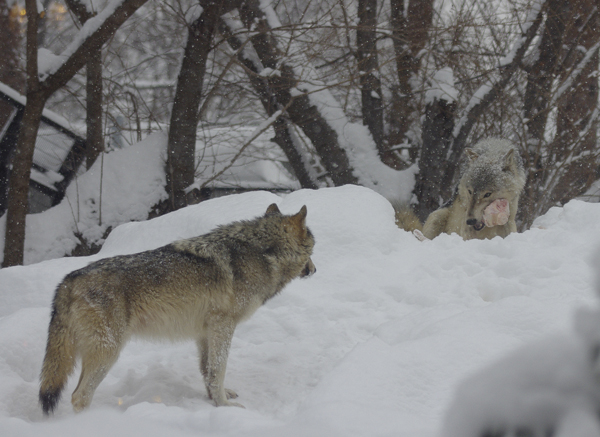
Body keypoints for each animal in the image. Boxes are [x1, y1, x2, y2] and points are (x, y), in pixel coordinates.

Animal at [39, 203, 316, 414]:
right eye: (313, 248)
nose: (314, 270)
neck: (263, 253)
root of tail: (68, 281)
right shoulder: (223, 325)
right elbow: (219, 369)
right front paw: (225, 407)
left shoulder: (205, 332)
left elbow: (208, 371)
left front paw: (215, 400)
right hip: (108, 353)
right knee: (79, 396)